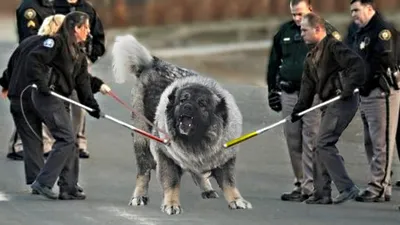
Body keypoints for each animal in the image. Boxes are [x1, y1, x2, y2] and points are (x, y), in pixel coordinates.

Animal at [111, 34, 252, 214]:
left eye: (202, 104)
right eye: (182, 100)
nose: (187, 106)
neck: (198, 141)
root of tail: (152, 64)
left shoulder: (224, 157)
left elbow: (229, 182)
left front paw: (237, 200)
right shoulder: (165, 155)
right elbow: (172, 182)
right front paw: (171, 204)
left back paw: (207, 188)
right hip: (141, 139)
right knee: (143, 172)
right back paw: (139, 196)